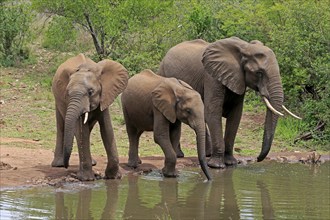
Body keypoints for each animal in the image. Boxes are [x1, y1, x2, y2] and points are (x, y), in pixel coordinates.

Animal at [159, 36, 300, 168]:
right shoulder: (211, 77)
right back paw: (180, 155)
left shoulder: (238, 78)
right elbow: (213, 112)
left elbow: (235, 114)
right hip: (164, 74)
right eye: (259, 73)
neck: (245, 47)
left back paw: (206, 154)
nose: (258, 159)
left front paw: (231, 163)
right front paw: (217, 165)